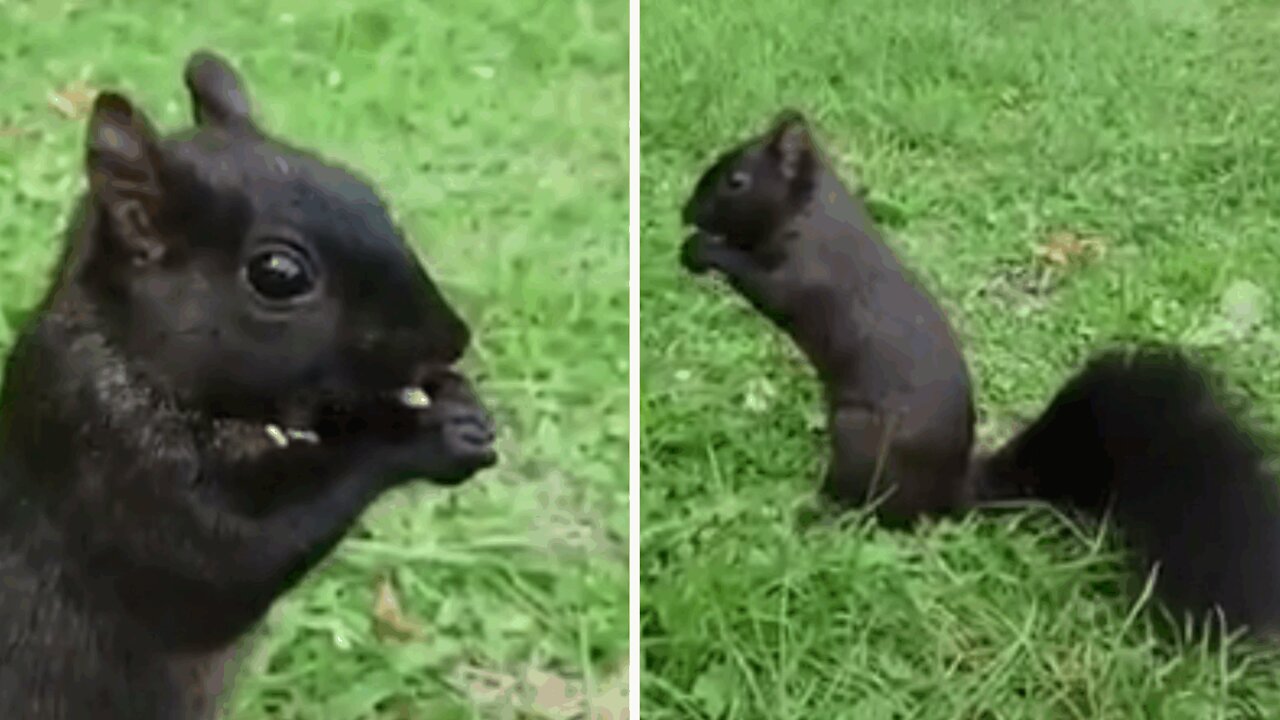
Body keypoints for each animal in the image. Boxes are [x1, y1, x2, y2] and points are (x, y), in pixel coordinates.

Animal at [686, 109, 1280, 635]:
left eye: (736, 180)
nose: (687, 211)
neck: (809, 210)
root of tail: (953, 491)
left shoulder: (807, 271)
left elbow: (766, 288)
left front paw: (701, 251)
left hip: (859, 438)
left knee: (880, 511)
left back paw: (822, 512)